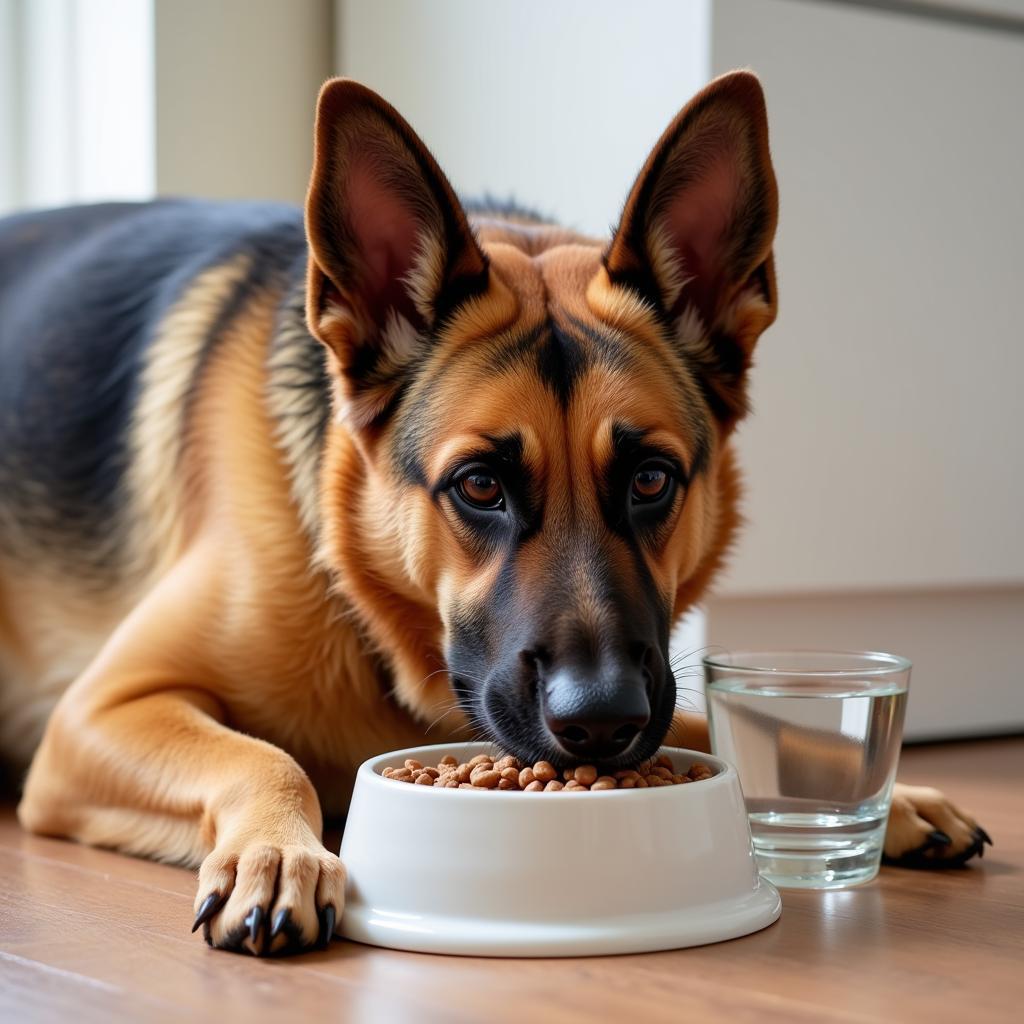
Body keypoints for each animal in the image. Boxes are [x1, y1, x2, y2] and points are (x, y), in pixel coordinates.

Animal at [2, 74, 991, 950]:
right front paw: (280, 851)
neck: (369, 612)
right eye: (479, 486)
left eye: (651, 481)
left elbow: (741, 728)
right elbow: (262, 754)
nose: (602, 722)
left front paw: (881, 792)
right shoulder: (97, 715)